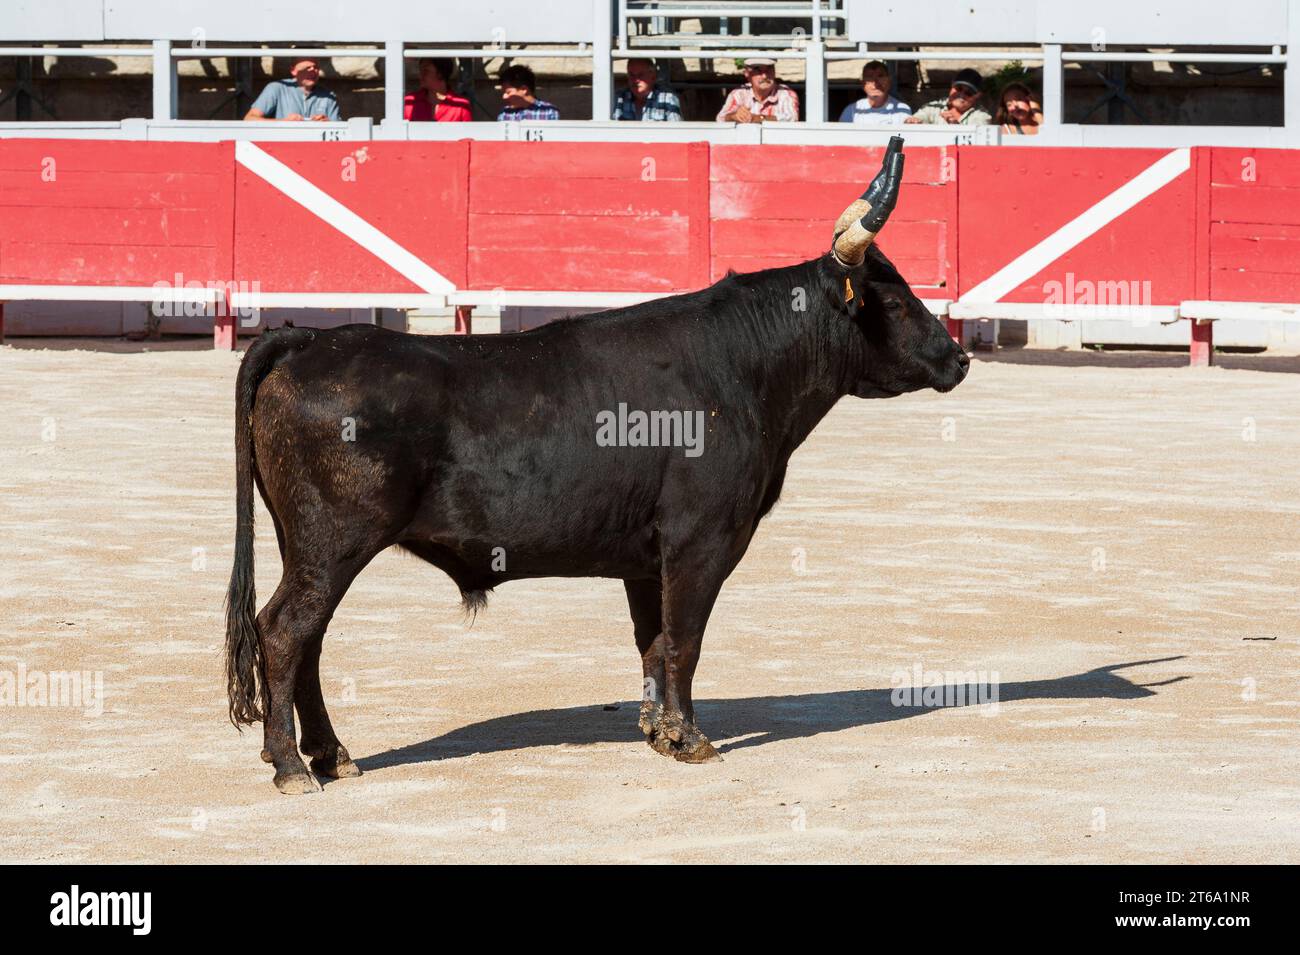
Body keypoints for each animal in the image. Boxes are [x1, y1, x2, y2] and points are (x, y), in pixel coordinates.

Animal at [228, 180, 972, 800]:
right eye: (895, 300)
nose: (959, 358)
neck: (742, 365)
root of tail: (306, 339)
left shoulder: (645, 558)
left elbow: (653, 640)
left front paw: (658, 731)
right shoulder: (702, 541)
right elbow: (684, 638)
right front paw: (691, 739)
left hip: (307, 545)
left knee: (306, 636)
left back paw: (330, 755)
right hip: (335, 542)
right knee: (286, 630)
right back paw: (293, 767)